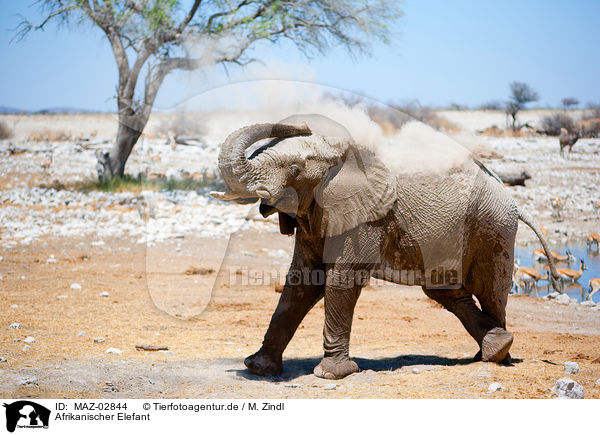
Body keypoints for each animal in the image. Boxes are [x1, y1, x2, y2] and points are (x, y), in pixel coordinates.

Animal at [211, 114, 564, 380]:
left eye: (295, 170)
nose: (302, 123)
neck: (342, 158)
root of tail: (512, 198)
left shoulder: (366, 218)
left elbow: (341, 280)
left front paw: (331, 375)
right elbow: (301, 281)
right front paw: (258, 368)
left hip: (493, 227)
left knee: (490, 290)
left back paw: (498, 357)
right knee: (445, 292)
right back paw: (491, 349)